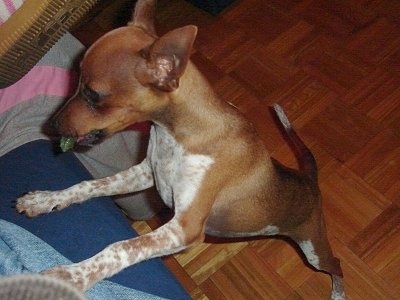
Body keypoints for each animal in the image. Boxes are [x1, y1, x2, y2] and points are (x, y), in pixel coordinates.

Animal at [15, 0, 344, 298]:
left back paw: (338, 292)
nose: (52, 125)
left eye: (93, 94)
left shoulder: (184, 227)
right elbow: (89, 185)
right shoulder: (146, 174)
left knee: (337, 265)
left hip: (313, 250)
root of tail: (308, 179)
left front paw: (70, 276)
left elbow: (120, 247)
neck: (177, 136)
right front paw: (45, 200)